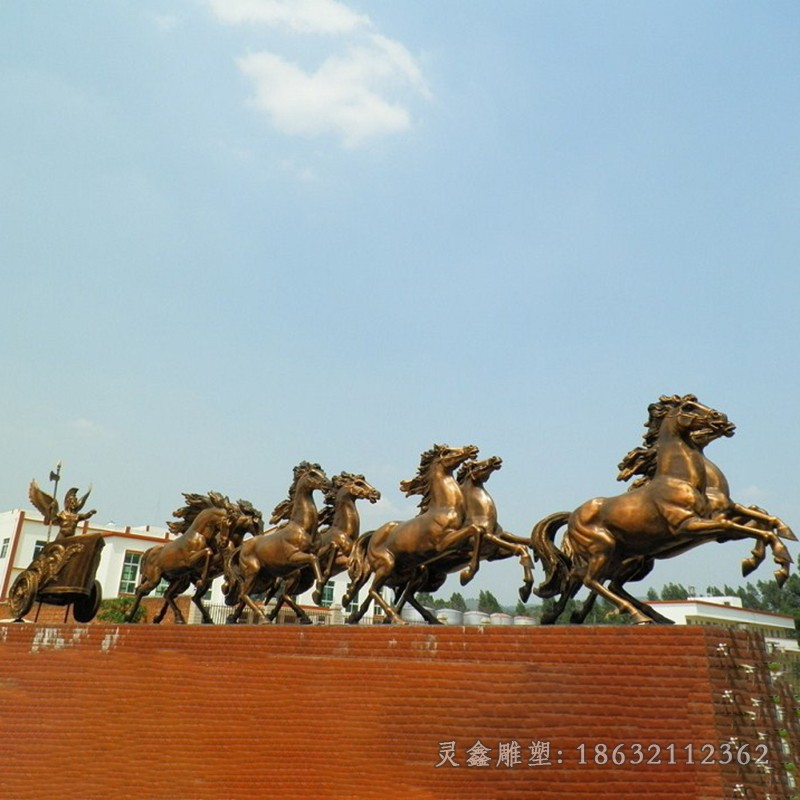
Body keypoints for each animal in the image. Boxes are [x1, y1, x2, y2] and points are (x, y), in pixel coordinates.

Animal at [223, 462, 330, 624]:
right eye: (312, 474)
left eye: (322, 473)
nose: (327, 484)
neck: (302, 527)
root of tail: (243, 546)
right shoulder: (294, 557)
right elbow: (313, 559)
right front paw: (317, 595)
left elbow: (319, 557)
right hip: (253, 571)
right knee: (244, 594)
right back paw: (264, 618)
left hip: (263, 577)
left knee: (247, 595)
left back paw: (235, 618)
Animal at [342, 444, 478, 624]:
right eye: (448, 451)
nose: (471, 448)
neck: (445, 508)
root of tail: (374, 534)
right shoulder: (443, 543)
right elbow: (475, 529)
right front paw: (467, 575)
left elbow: (478, 532)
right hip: (387, 564)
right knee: (374, 590)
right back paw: (396, 619)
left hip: (408, 571)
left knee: (399, 593)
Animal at [532, 394, 792, 624]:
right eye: (688, 407)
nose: (722, 418)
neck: (682, 479)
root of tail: (573, 516)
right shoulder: (693, 526)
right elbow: (748, 524)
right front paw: (778, 562)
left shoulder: (720, 525)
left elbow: (760, 516)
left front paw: (779, 538)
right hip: (604, 549)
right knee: (587, 580)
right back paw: (631, 616)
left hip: (628, 560)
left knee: (594, 581)